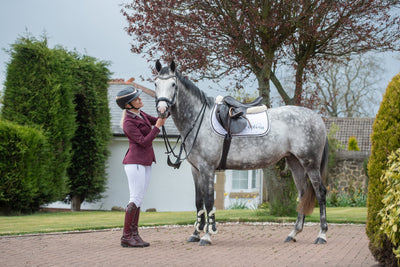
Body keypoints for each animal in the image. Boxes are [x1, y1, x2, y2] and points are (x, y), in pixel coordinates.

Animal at [155, 60, 330, 247]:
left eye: (173, 84)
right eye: (156, 84)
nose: (162, 110)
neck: (199, 121)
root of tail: (318, 119)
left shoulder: (207, 168)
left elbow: (209, 201)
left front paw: (207, 236)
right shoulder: (195, 170)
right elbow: (198, 202)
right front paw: (195, 234)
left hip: (310, 164)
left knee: (320, 193)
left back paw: (322, 234)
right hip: (295, 162)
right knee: (302, 194)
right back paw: (293, 233)